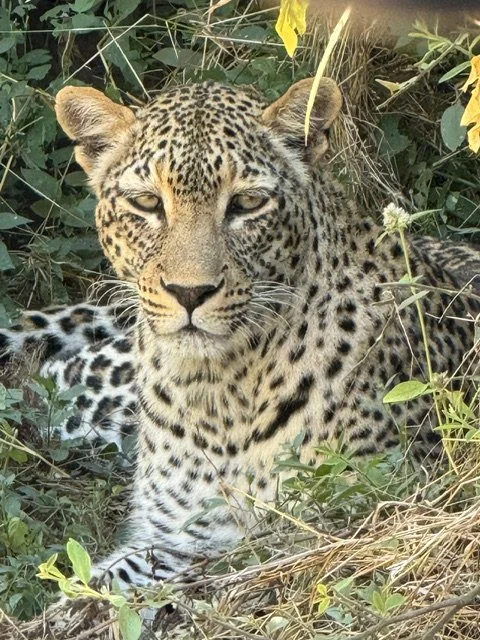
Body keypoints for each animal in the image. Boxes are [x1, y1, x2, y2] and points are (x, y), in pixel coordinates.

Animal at [1, 77, 479, 593]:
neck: (218, 392)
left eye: (248, 203)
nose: (190, 292)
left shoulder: (310, 530)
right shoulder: (177, 536)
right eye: (147, 202)